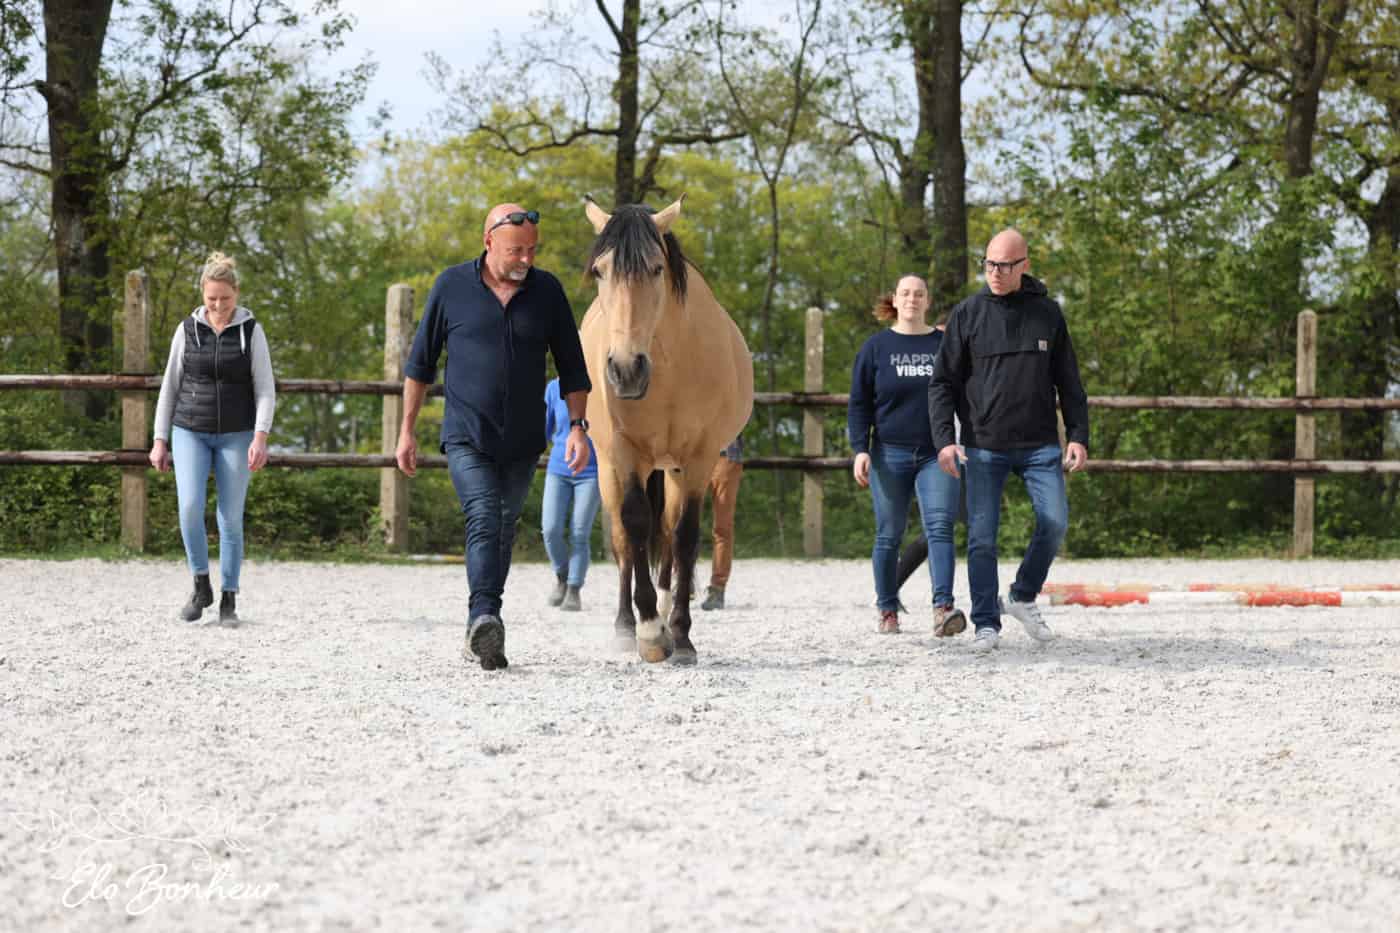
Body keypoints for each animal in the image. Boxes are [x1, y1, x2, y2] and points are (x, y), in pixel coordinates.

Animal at [579, 194, 756, 661]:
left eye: (657, 268)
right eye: (600, 270)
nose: (625, 370)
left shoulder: (699, 458)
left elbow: (684, 536)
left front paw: (679, 633)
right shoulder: (625, 452)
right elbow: (636, 523)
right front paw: (649, 634)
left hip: (672, 468)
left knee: (669, 534)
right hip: (612, 467)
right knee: (624, 539)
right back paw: (627, 624)